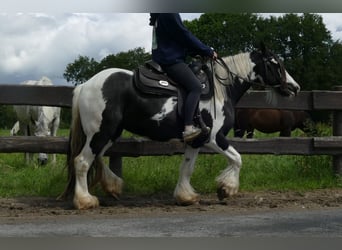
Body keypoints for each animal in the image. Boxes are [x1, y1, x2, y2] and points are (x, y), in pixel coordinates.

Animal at [58, 44, 300, 209]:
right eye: (274, 63)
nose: (295, 88)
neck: (220, 89)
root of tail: (85, 85)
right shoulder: (214, 137)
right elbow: (237, 158)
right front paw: (226, 189)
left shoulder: (196, 141)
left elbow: (187, 168)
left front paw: (186, 197)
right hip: (101, 132)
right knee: (82, 161)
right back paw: (85, 200)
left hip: (109, 133)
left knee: (97, 158)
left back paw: (112, 186)